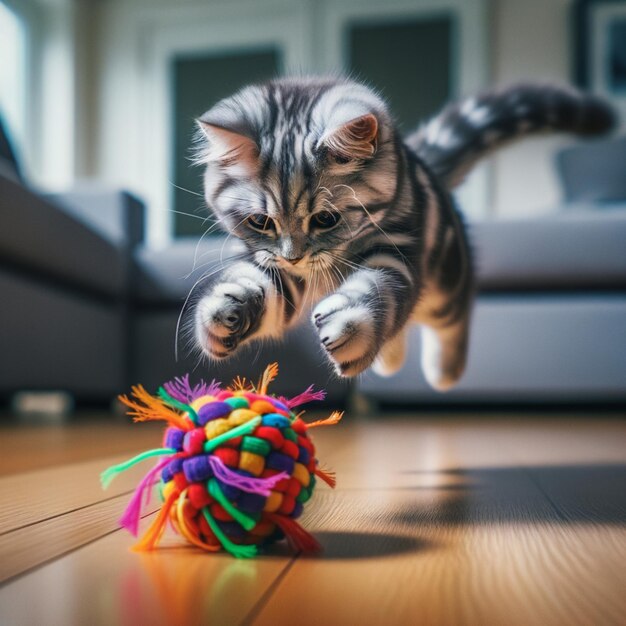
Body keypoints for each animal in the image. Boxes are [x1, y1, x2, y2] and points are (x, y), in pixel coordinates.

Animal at [193, 78, 612, 388]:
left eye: (325, 219)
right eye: (261, 221)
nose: (294, 255)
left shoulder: (396, 250)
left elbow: (377, 289)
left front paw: (350, 327)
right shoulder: (278, 269)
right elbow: (254, 285)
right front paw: (221, 314)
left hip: (447, 282)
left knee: (452, 315)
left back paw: (444, 372)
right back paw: (389, 361)